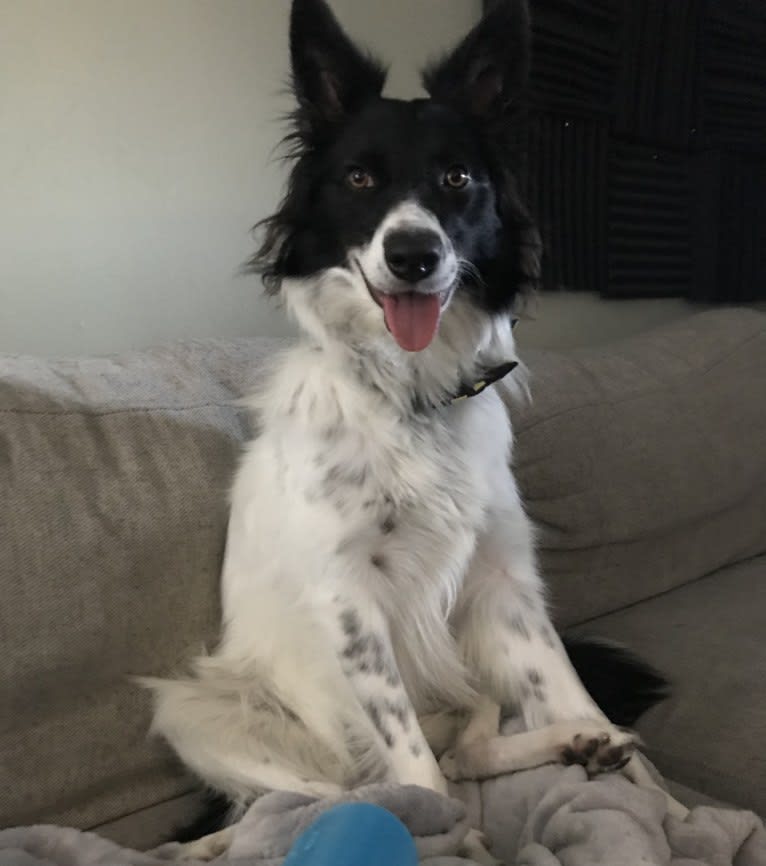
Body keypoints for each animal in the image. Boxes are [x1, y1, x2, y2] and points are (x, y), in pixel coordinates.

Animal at [146, 0, 688, 856]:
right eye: (359, 178)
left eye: (457, 178)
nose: (413, 255)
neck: (413, 396)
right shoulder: (349, 602)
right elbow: (415, 776)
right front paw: (441, 831)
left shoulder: (503, 582)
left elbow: (566, 688)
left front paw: (654, 795)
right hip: (197, 709)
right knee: (331, 791)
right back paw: (211, 843)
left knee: (468, 743)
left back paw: (574, 744)